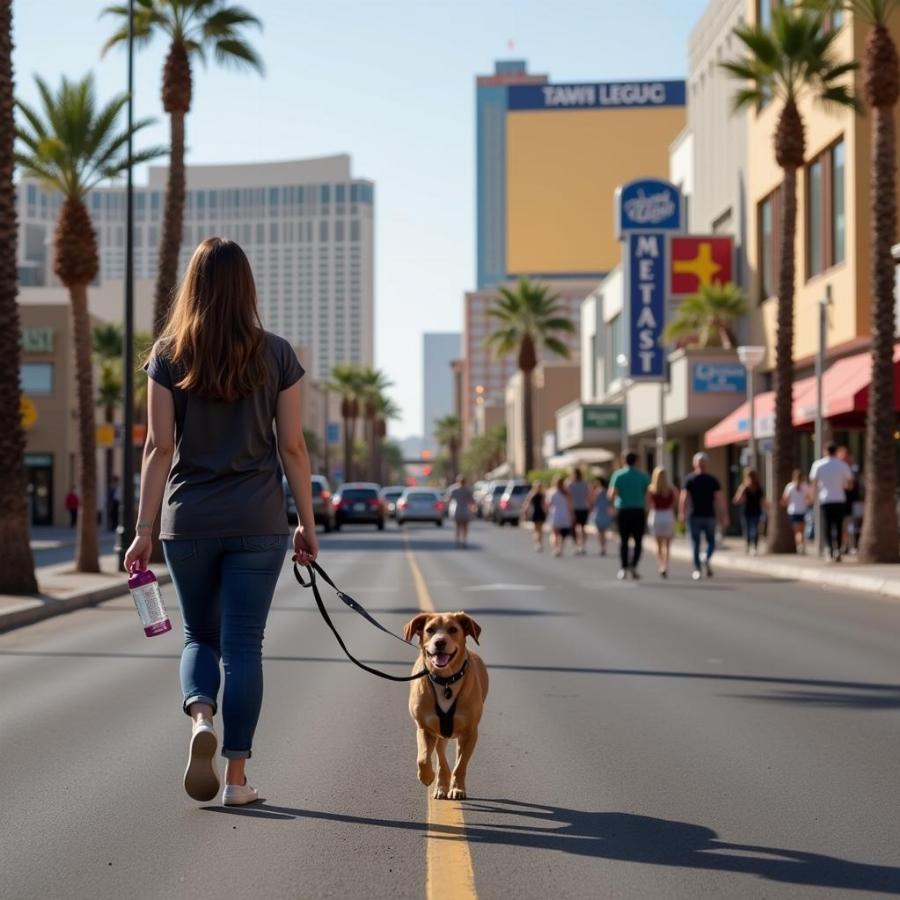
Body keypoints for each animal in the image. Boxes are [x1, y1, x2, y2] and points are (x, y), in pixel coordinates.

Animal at [404, 612, 488, 800]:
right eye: (430, 630)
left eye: (453, 629)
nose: (440, 642)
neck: (446, 681)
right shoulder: (425, 727)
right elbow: (423, 758)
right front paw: (427, 776)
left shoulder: (470, 732)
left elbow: (461, 764)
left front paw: (457, 788)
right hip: (439, 732)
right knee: (440, 755)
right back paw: (441, 785)